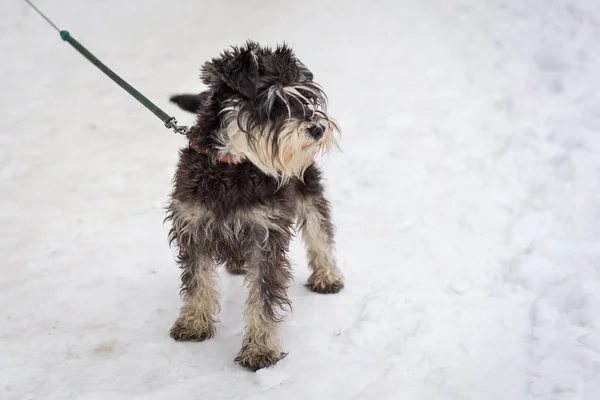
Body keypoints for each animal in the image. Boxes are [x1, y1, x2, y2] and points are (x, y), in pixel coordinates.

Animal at [165, 41, 342, 372]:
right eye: (273, 103)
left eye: (306, 98)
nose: (317, 128)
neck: (231, 166)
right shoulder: (193, 227)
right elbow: (197, 280)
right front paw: (193, 323)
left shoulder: (265, 235)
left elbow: (263, 296)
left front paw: (260, 350)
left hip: (307, 185)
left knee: (318, 227)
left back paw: (327, 275)